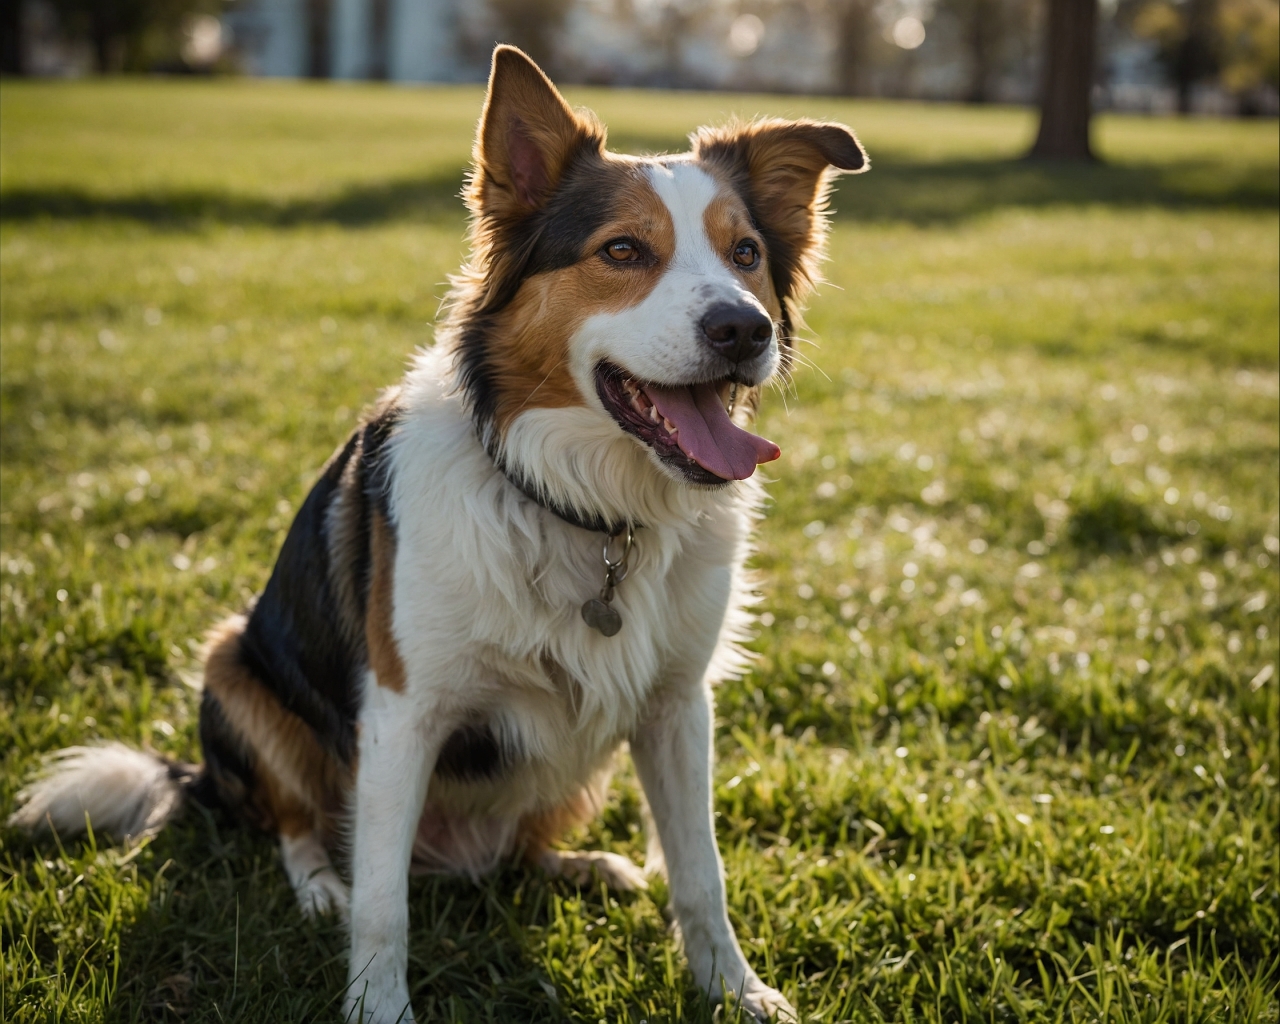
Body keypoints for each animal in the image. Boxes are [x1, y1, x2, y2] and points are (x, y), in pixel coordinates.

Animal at [10, 46, 865, 1024]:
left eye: (746, 253)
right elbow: (383, 901)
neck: (582, 509)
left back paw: (582, 866)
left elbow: (702, 871)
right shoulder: (401, 710)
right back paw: (319, 888)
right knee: (299, 827)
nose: (744, 329)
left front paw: (733, 989)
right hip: (233, 664)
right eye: (622, 251)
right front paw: (378, 1003)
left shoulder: (677, 704)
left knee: (520, 849)